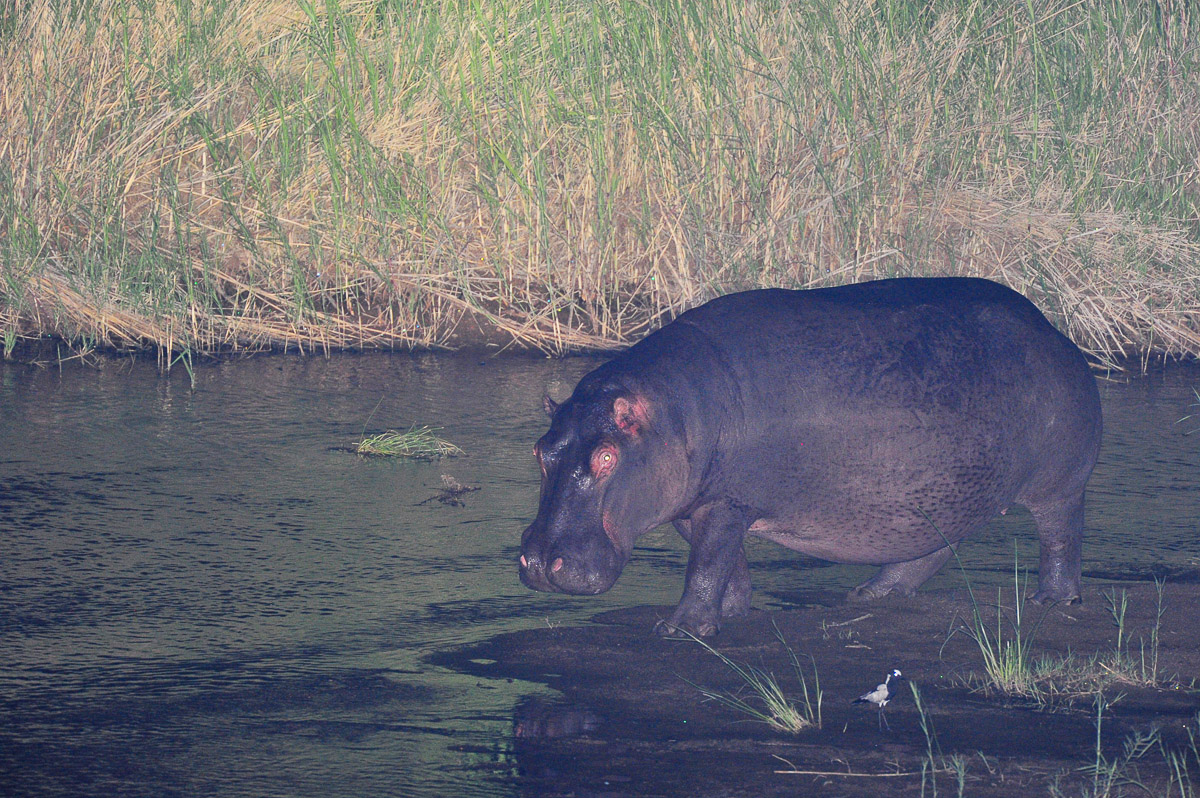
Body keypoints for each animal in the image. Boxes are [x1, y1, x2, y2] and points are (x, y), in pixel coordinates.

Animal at [518, 277, 1102, 636]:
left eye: (607, 457)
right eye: (540, 450)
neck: (672, 412)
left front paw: (680, 629)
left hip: (1060, 483)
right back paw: (869, 595)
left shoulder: (728, 503)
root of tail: (1055, 332)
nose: (540, 561)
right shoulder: (697, 504)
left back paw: (1053, 601)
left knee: (1061, 537)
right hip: (948, 495)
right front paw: (731, 612)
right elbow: (726, 564)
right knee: (932, 548)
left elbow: (707, 563)